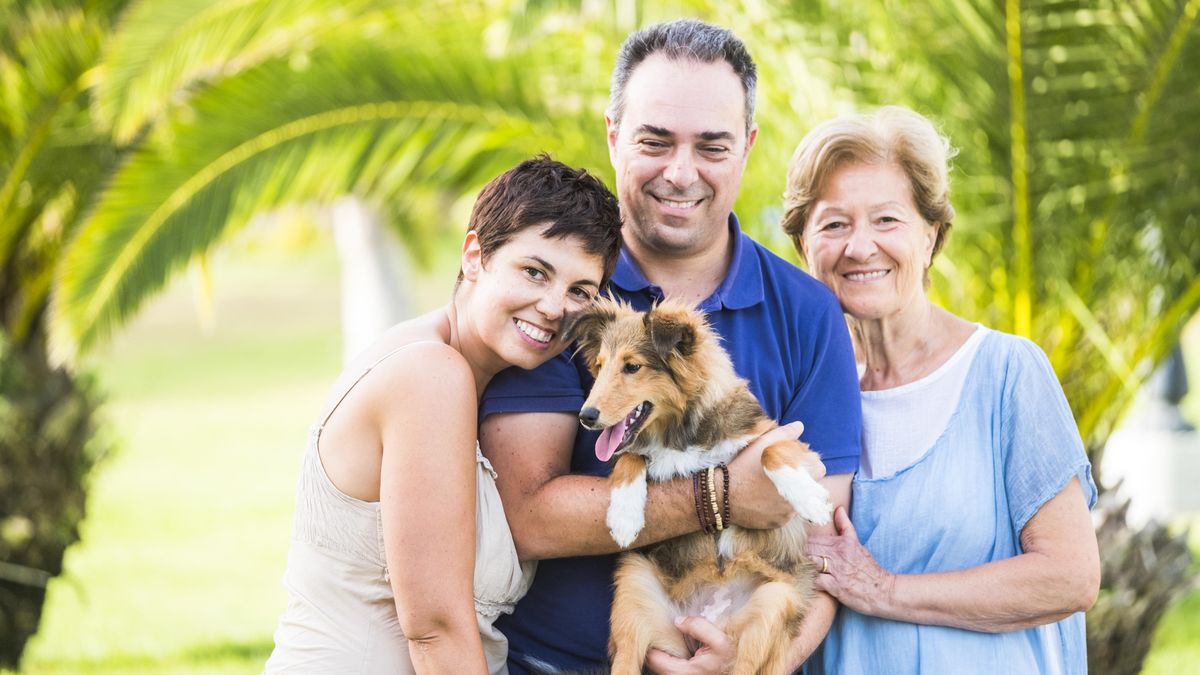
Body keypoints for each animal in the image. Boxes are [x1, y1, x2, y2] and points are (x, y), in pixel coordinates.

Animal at [564, 297, 830, 672]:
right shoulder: (638, 453)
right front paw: (624, 517)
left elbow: (772, 451)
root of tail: (706, 618)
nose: (586, 417)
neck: (679, 431)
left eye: (632, 367)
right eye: (599, 367)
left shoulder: (785, 440)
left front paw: (810, 500)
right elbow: (629, 458)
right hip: (634, 583)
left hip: (773, 602)